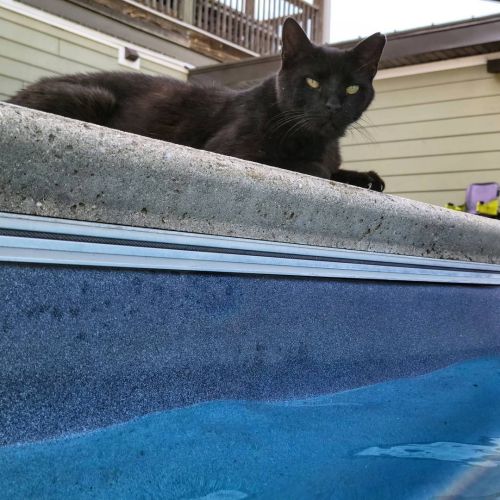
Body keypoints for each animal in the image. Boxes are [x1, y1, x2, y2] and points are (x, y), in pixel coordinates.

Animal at [7, 18, 386, 190]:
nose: (332, 105)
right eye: (312, 82)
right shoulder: (230, 149)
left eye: (352, 88)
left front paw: (366, 178)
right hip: (93, 96)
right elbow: (314, 168)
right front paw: (326, 169)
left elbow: (336, 169)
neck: (317, 141)